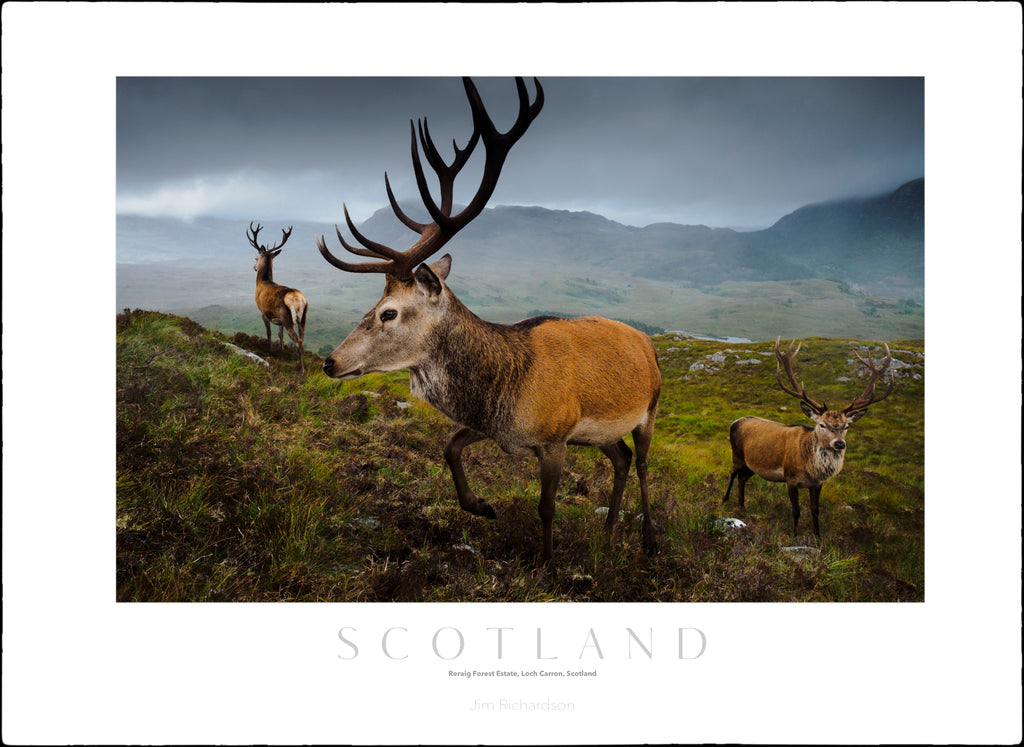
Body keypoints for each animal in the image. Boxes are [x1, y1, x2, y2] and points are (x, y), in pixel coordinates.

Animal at [247, 221, 307, 372]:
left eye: (256, 257)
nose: (254, 267)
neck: (262, 282)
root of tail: (298, 300)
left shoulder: (263, 311)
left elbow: (268, 332)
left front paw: (270, 350)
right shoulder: (279, 319)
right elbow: (280, 334)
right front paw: (280, 350)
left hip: (288, 318)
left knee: (298, 341)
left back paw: (302, 369)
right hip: (302, 317)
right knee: (302, 339)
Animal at [315, 77, 659, 565]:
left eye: (388, 312)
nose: (330, 362)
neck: (504, 393)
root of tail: (646, 343)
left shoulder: (555, 439)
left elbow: (546, 507)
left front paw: (546, 563)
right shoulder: (497, 430)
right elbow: (449, 447)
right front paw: (481, 505)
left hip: (650, 408)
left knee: (645, 462)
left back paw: (648, 537)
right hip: (602, 433)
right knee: (622, 459)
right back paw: (609, 531)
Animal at [720, 338, 897, 536]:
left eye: (847, 426)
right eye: (822, 424)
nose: (839, 443)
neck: (811, 469)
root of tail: (736, 421)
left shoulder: (817, 483)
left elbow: (815, 509)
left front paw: (817, 536)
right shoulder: (790, 479)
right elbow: (796, 510)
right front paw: (795, 534)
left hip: (752, 465)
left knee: (742, 479)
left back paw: (742, 506)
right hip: (737, 454)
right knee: (732, 473)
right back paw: (725, 499)